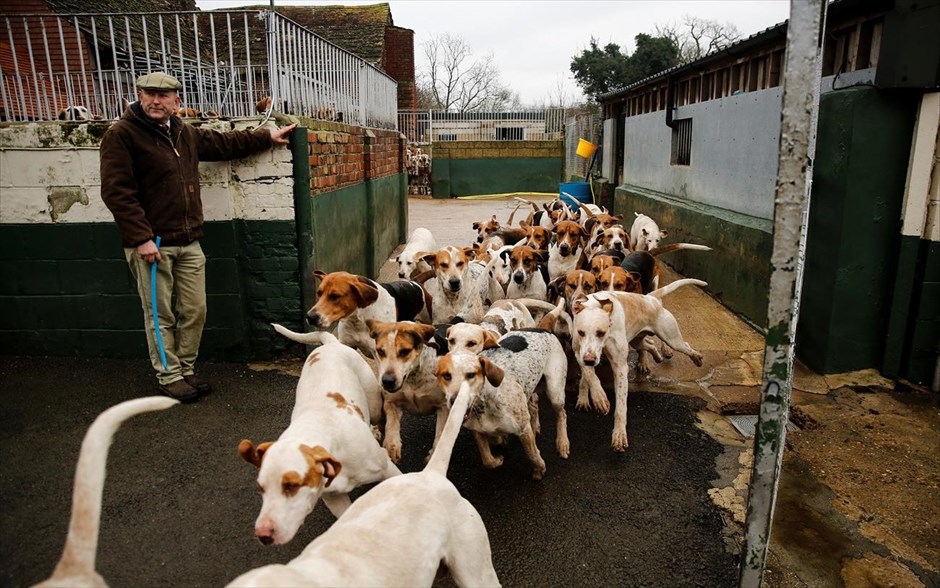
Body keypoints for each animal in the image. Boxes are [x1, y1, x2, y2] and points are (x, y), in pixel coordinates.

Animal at [239, 328, 400, 544]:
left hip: (374, 404)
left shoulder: (389, 471)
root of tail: (330, 343)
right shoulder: (335, 499)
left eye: (291, 486)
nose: (263, 534)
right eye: (261, 488)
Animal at [572, 282, 704, 452]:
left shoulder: (620, 367)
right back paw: (657, 357)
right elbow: (590, 375)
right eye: (581, 332)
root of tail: (650, 298)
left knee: (684, 345)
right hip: (637, 341)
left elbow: (621, 407)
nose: (589, 359)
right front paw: (599, 398)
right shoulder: (579, 353)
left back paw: (696, 357)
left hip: (672, 339)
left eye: (600, 333)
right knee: (650, 344)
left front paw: (619, 435)